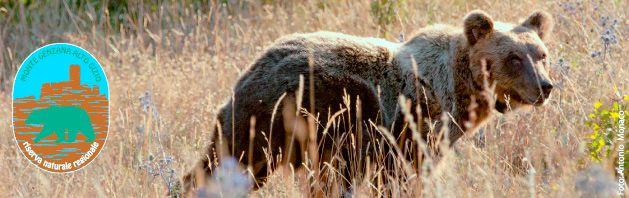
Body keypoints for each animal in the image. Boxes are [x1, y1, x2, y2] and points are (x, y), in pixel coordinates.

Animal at [179, 9, 552, 196]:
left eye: (541, 54)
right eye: (514, 58)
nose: (545, 86)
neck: (454, 88)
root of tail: (251, 67)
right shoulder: (407, 130)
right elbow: (402, 178)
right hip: (279, 118)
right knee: (227, 164)